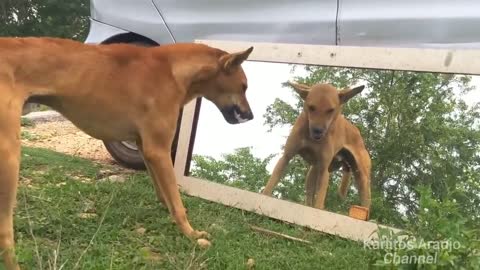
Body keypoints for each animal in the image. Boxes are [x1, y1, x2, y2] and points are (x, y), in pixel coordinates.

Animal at [0, 37, 255, 268]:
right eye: (244, 86)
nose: (251, 116)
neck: (173, 70)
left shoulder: (146, 148)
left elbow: (164, 192)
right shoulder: (158, 149)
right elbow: (177, 200)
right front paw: (191, 234)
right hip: (10, 159)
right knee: (5, 234)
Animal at [262, 82, 372, 211]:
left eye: (331, 110)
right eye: (311, 107)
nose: (317, 131)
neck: (311, 138)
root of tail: (356, 131)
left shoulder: (324, 169)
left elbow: (319, 199)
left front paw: (318, 208)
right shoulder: (286, 157)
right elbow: (272, 181)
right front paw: (264, 195)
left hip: (361, 175)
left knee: (365, 198)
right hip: (313, 170)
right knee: (309, 194)